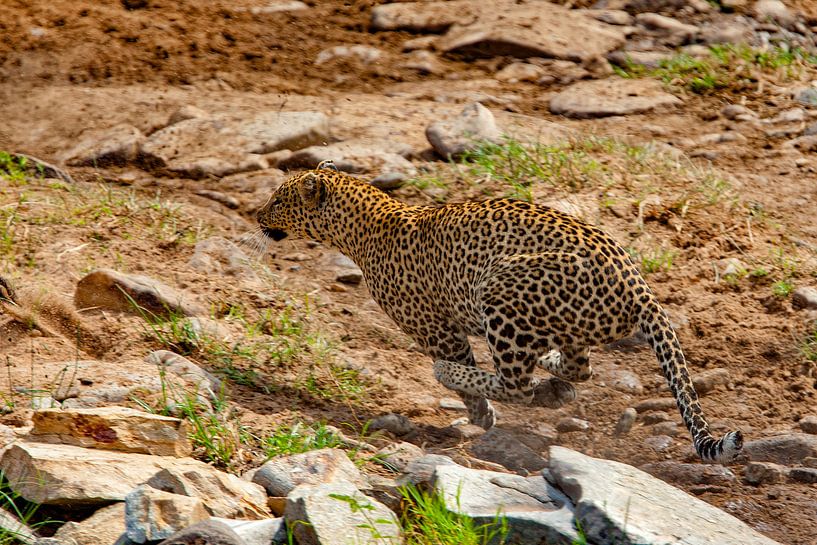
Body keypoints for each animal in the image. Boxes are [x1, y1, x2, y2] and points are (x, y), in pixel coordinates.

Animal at [256, 162, 743, 464]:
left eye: (278, 200)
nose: (256, 214)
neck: (363, 227)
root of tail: (639, 287)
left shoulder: (435, 328)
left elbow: (465, 372)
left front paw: (479, 414)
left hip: (499, 287)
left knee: (517, 383)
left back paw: (498, 382)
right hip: (563, 322)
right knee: (577, 368)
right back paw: (553, 376)